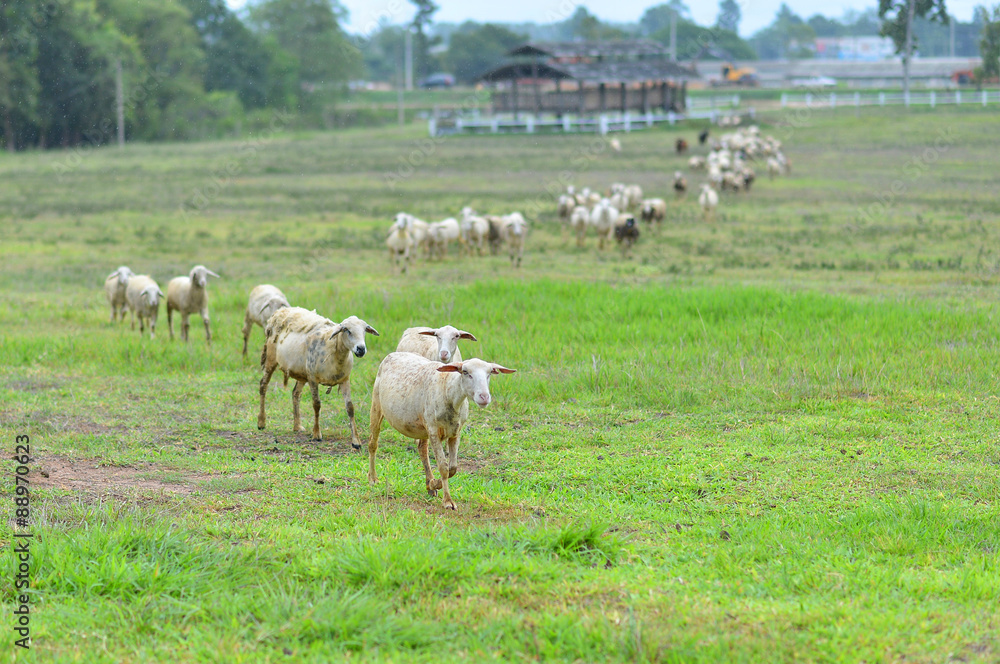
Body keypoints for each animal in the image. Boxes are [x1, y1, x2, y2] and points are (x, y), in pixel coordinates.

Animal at [258, 308, 378, 446]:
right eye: (346, 330)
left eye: (364, 330)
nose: (361, 349)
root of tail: (281, 311)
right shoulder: (313, 378)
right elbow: (316, 404)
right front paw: (316, 434)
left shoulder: (345, 379)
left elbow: (350, 408)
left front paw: (356, 441)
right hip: (271, 358)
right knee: (263, 385)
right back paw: (261, 422)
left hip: (302, 372)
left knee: (295, 393)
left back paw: (297, 426)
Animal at [366, 356, 516, 510]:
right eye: (465, 372)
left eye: (489, 373)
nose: (484, 397)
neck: (449, 393)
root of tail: (393, 354)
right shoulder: (434, 431)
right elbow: (443, 467)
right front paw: (448, 501)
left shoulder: (456, 432)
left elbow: (453, 468)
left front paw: (435, 484)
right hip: (377, 405)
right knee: (373, 443)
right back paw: (373, 478)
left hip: (423, 426)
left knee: (422, 449)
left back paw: (429, 484)